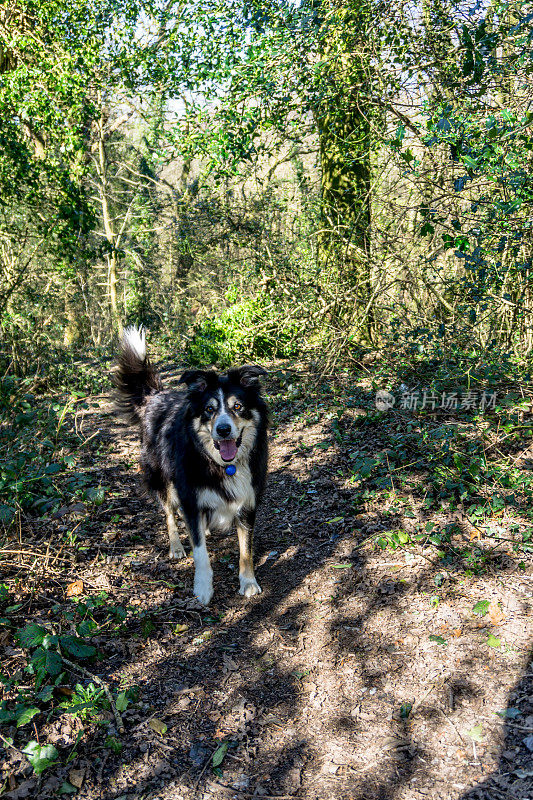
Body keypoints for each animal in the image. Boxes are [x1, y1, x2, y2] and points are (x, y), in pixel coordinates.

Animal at [114, 328, 268, 604]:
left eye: (238, 407)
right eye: (209, 409)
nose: (223, 430)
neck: (219, 463)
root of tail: (155, 396)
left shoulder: (247, 500)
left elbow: (246, 549)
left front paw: (248, 582)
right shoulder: (190, 496)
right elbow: (200, 552)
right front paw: (203, 588)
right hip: (161, 478)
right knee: (169, 514)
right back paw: (176, 546)